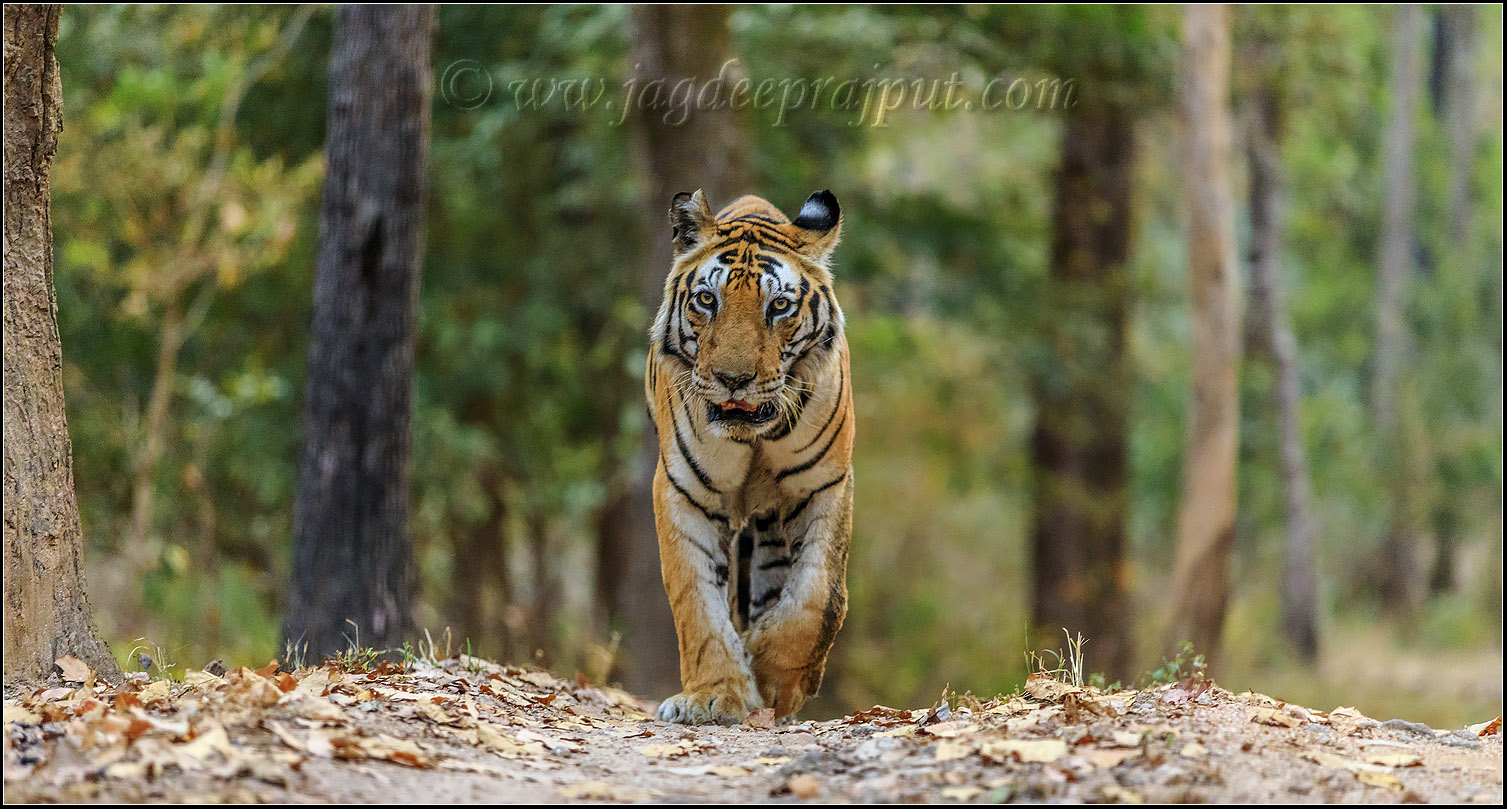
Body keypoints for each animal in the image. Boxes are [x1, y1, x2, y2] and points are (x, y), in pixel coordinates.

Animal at [645, 189, 854, 725]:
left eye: (778, 306)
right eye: (707, 300)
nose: (733, 380)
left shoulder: (824, 484)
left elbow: (815, 594)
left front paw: (774, 674)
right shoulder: (683, 491)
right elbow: (696, 599)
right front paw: (714, 695)